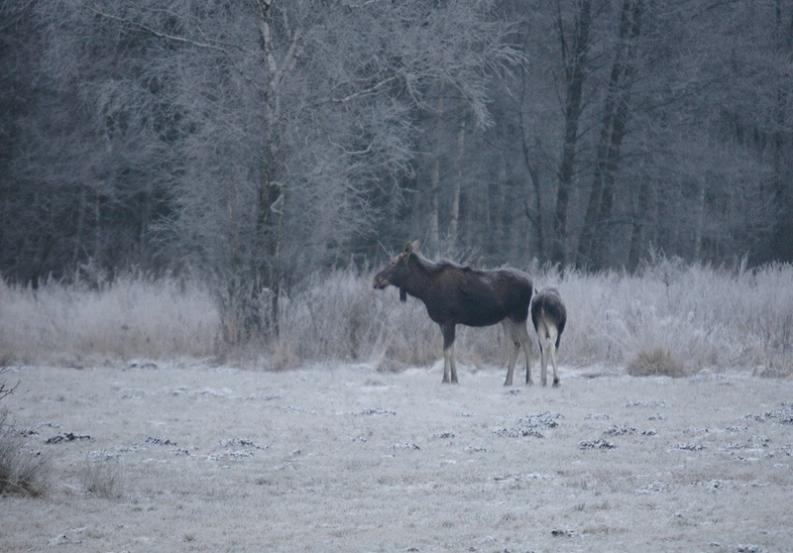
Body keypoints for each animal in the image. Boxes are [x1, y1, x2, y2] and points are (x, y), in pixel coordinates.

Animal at [374, 242, 536, 384]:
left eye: (393, 262)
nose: (376, 280)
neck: (424, 291)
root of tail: (532, 282)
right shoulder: (442, 322)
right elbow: (451, 349)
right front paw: (454, 378)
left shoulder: (449, 320)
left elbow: (446, 350)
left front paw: (446, 379)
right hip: (506, 319)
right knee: (514, 344)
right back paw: (508, 381)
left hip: (519, 315)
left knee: (527, 342)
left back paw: (529, 380)